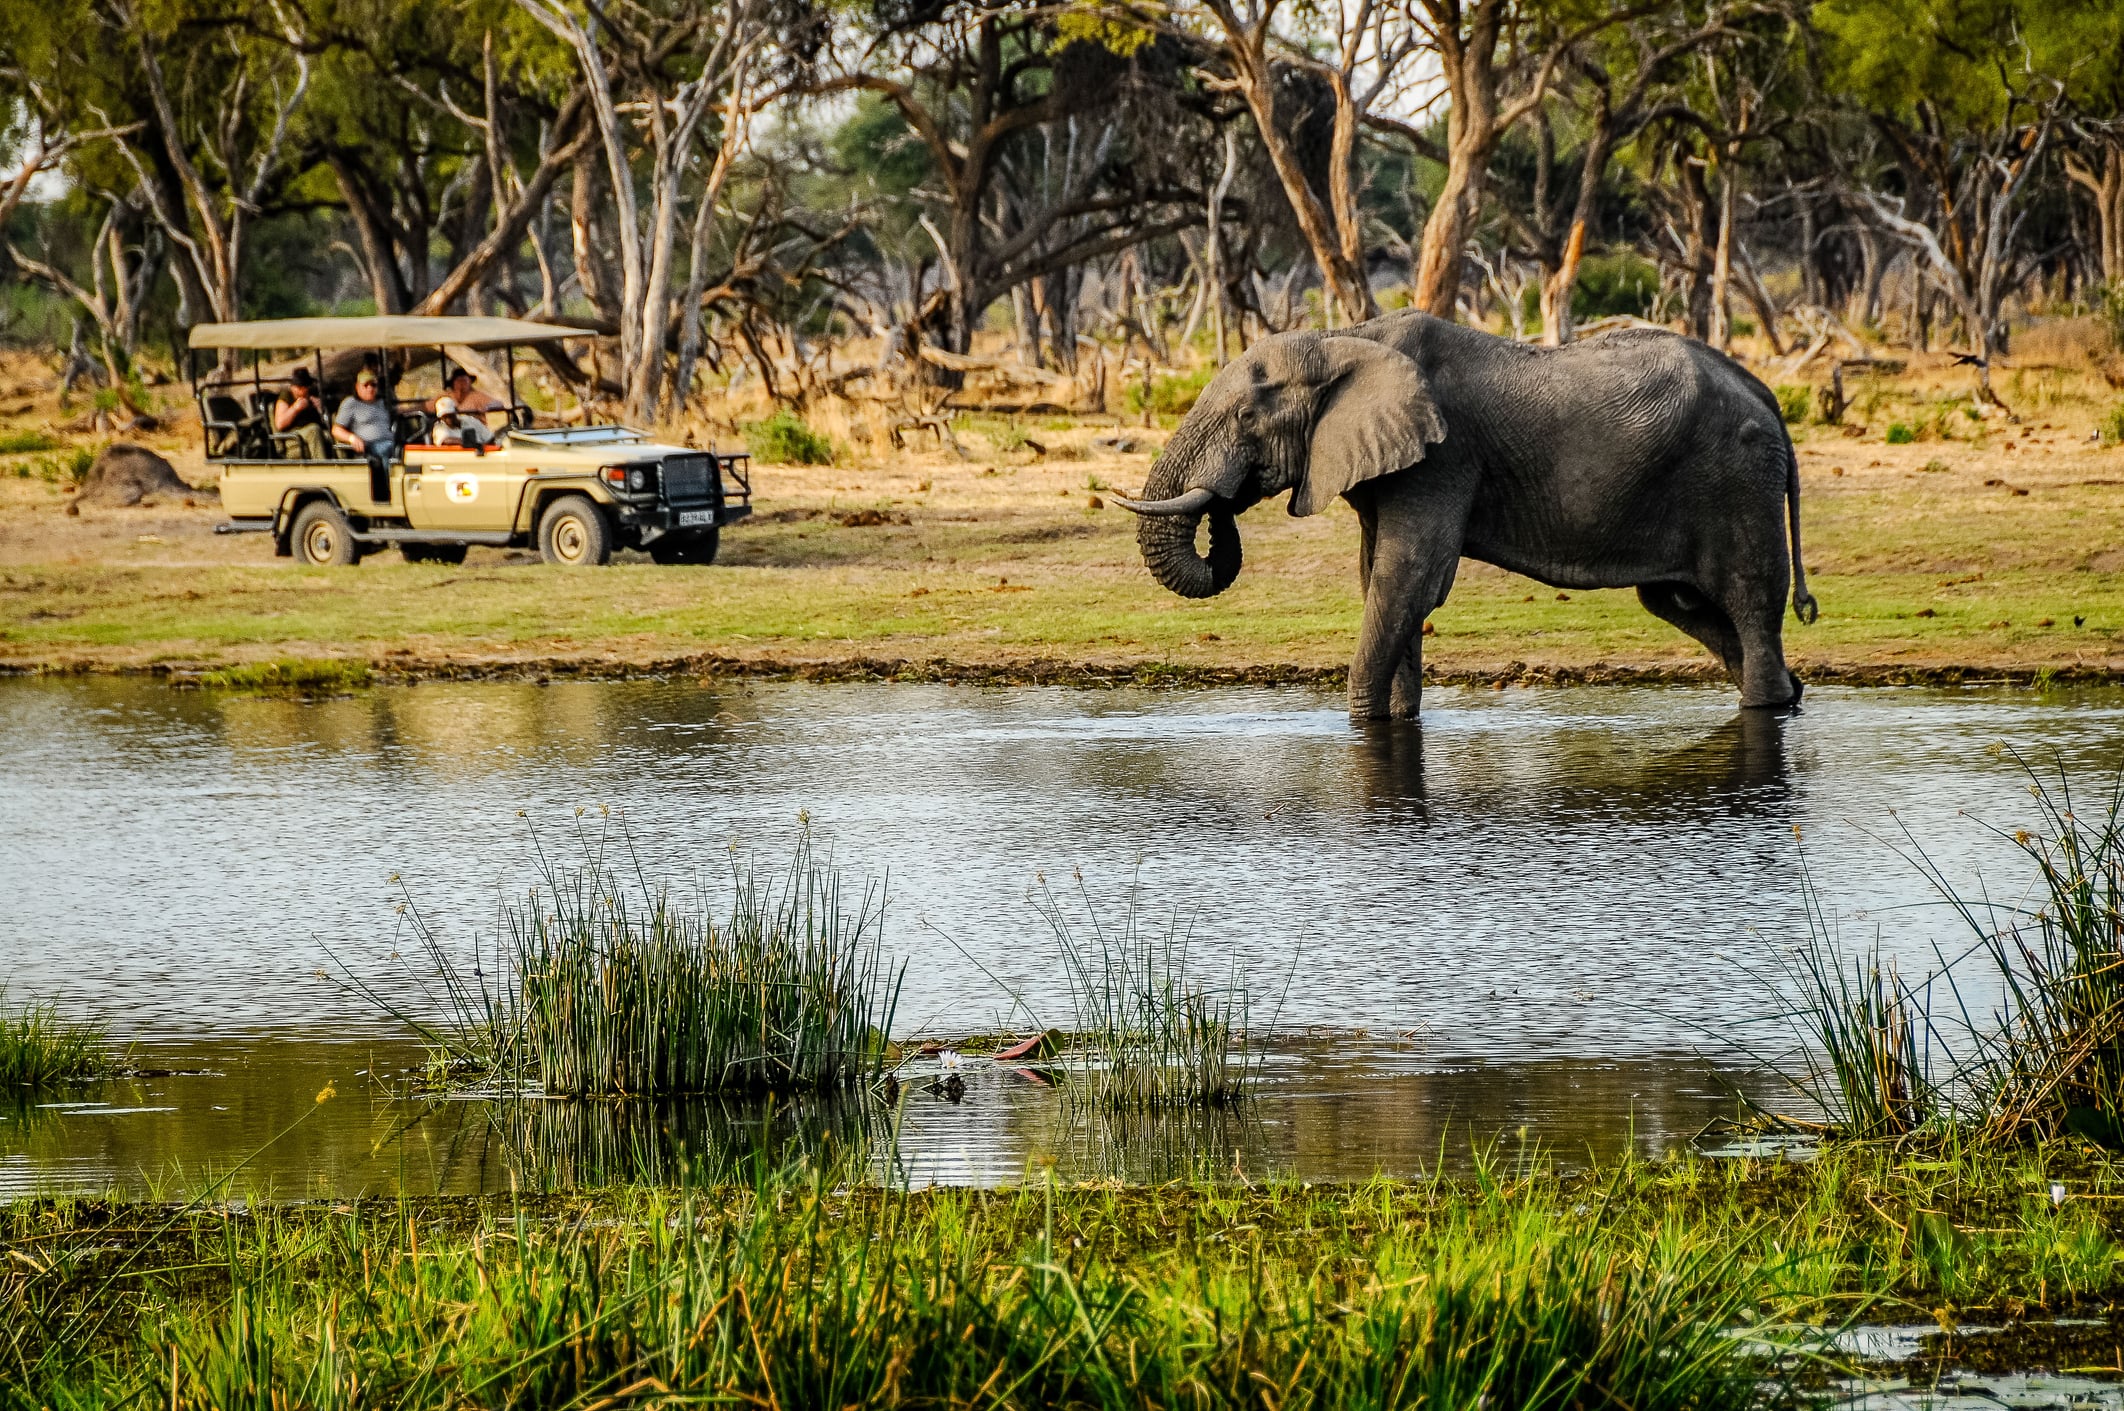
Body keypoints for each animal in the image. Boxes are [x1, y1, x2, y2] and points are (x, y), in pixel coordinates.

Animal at [1116, 310, 1819, 719]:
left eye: (1245, 417)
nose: (1225, 502)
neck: (1344, 338)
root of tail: (1767, 395)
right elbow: (1381, 583)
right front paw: (1397, 721)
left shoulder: (1442, 459)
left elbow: (1407, 579)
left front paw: (1362, 724)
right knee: (1681, 604)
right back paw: (1789, 694)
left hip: (1736, 483)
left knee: (1749, 603)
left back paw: (1768, 703)